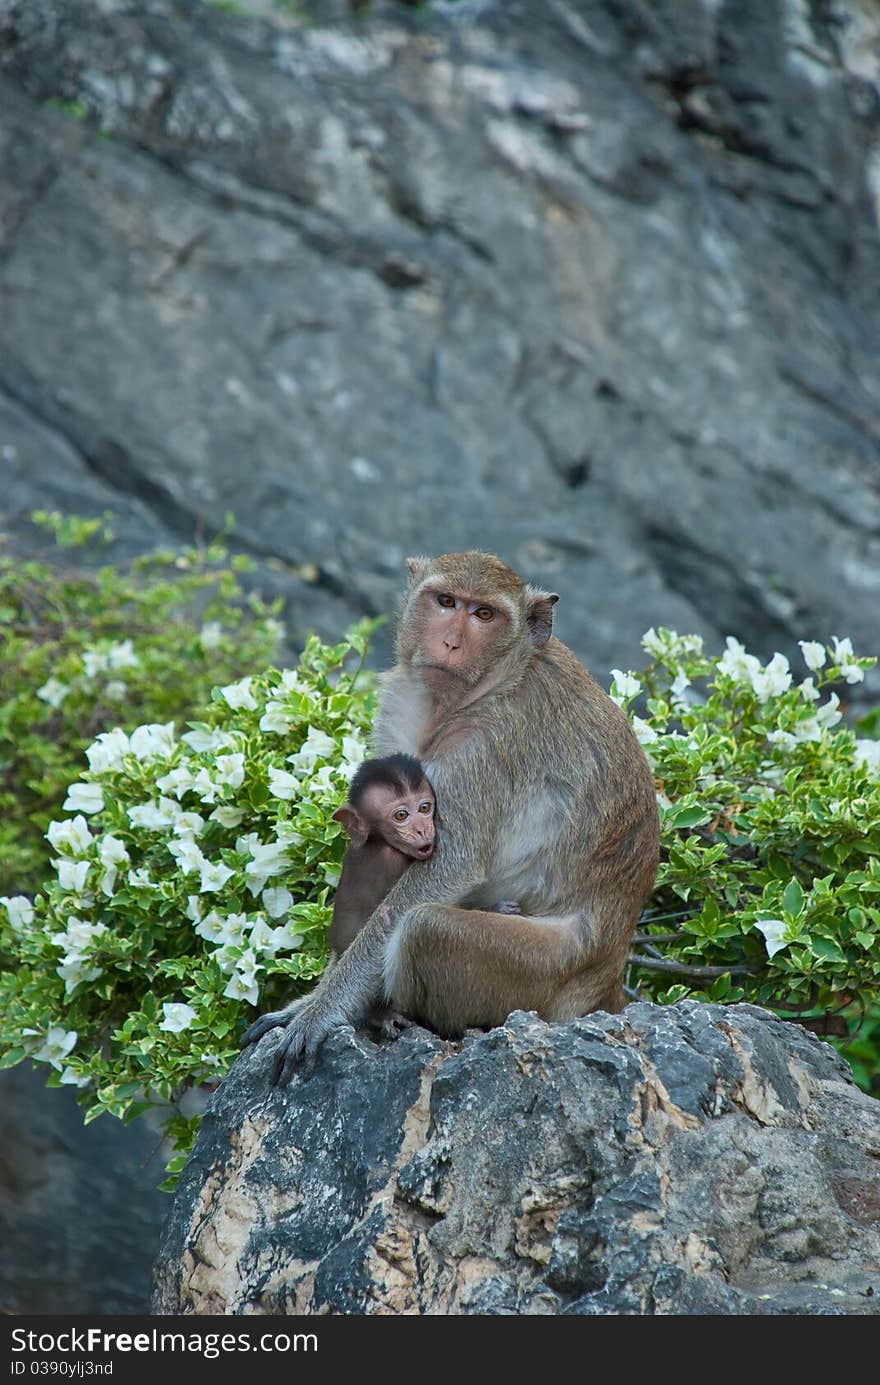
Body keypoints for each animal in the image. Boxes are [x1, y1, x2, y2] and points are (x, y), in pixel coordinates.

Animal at [242, 548, 659, 1080]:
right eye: (445, 602)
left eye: (484, 614)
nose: (450, 642)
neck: (490, 686)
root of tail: (608, 975)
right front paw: (306, 1003)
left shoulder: (484, 747)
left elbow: (448, 867)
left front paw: (322, 1011)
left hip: (540, 974)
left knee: (425, 929)